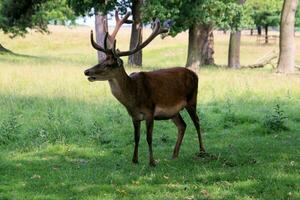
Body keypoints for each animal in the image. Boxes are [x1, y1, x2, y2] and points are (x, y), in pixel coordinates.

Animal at [84, 11, 206, 167]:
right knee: (182, 125)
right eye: (101, 60)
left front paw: (152, 162)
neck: (133, 97)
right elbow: (136, 137)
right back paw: (174, 154)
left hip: (192, 99)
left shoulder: (150, 111)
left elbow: (149, 137)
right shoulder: (134, 116)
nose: (87, 71)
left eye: (109, 64)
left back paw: (202, 150)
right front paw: (135, 160)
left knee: (197, 122)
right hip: (173, 111)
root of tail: (195, 74)